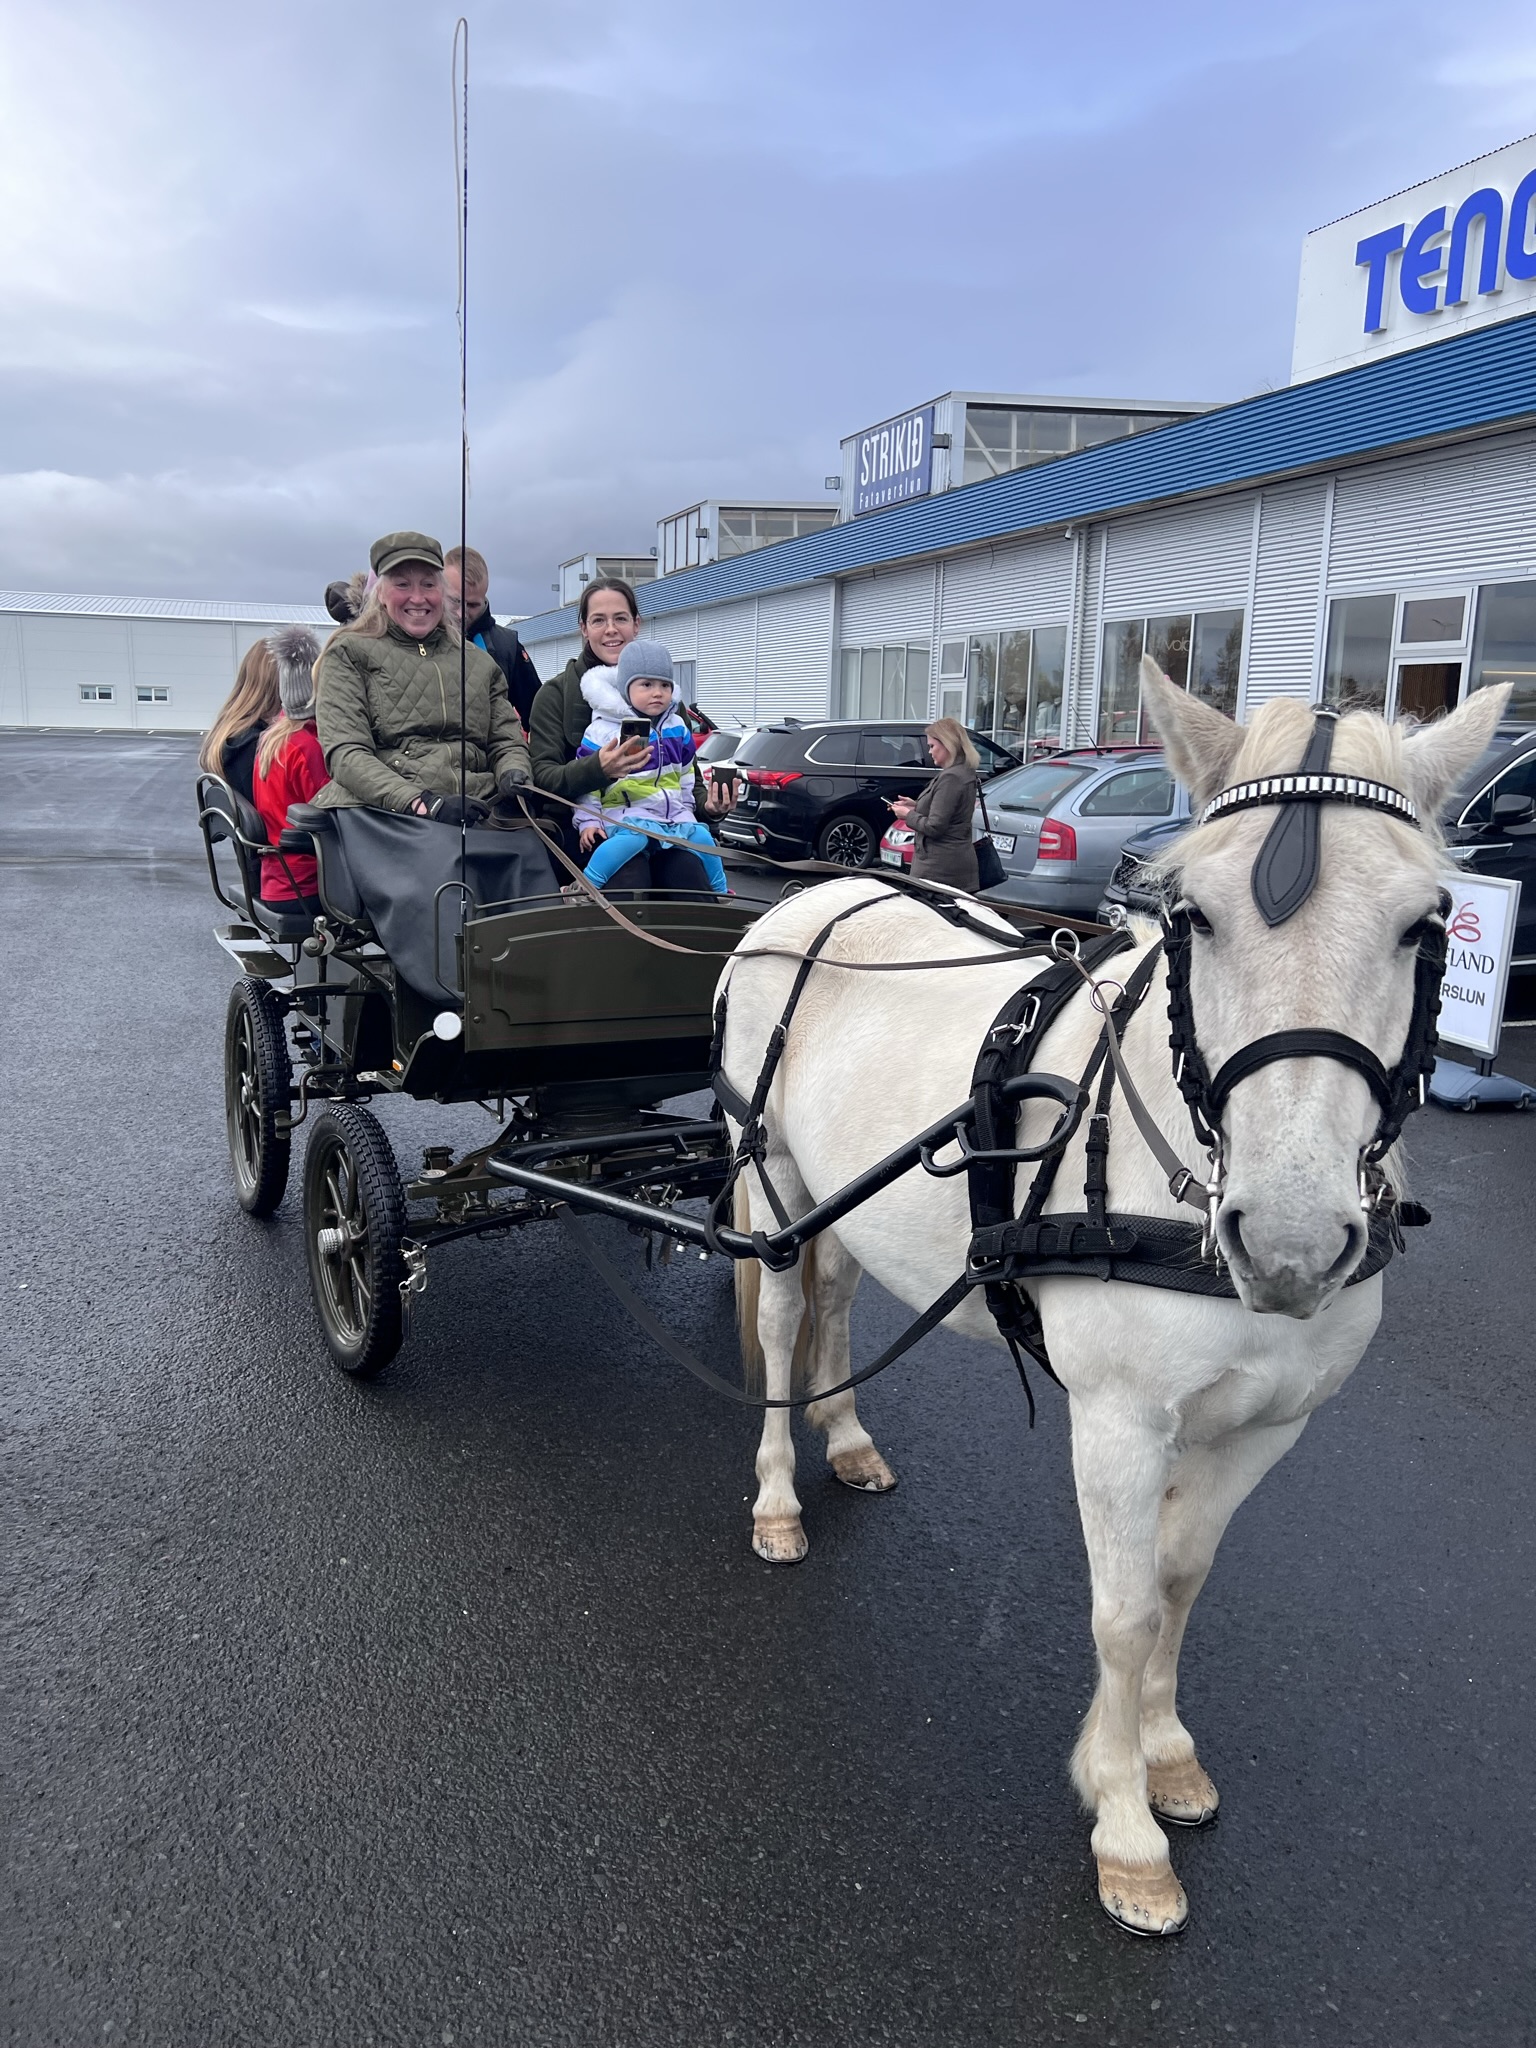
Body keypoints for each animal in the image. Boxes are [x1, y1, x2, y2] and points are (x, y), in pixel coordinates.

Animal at [716, 661, 1507, 1936]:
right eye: (1197, 916)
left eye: (1423, 922)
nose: (1290, 1239)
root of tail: (816, 896)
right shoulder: (1121, 1421)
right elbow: (1126, 1609)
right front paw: (1124, 1824)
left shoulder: (1269, 1425)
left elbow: (1182, 1578)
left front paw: (1163, 1751)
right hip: (775, 1176)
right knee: (788, 1322)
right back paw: (781, 1489)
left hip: (844, 1195)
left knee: (835, 1302)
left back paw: (846, 1436)